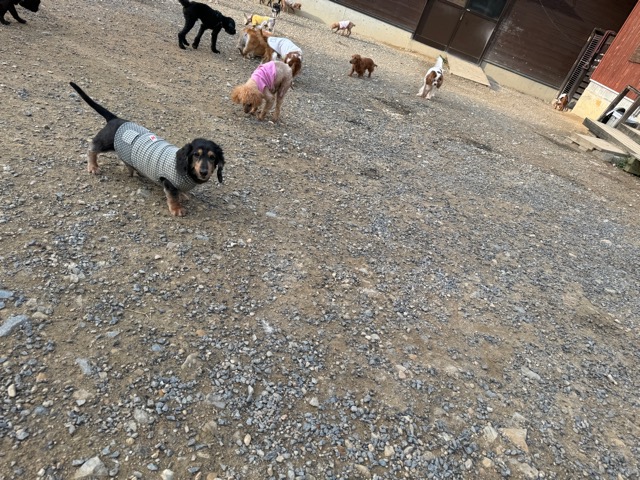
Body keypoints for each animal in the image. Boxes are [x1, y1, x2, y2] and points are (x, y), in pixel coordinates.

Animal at [69, 82, 224, 217]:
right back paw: (93, 166)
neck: (186, 170)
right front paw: (177, 209)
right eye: (196, 155)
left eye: (212, 157)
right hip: (105, 142)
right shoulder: (168, 182)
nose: (204, 172)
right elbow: (173, 196)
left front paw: (183, 195)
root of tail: (116, 119)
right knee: (92, 149)